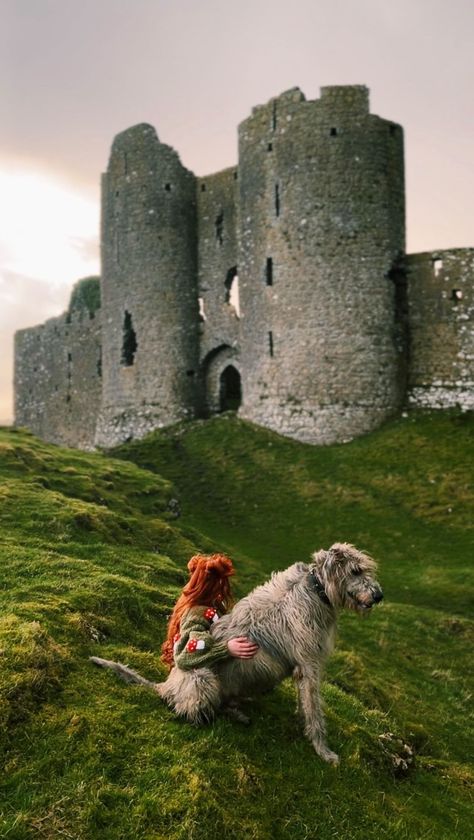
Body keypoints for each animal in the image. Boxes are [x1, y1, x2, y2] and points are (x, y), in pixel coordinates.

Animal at [91, 544, 382, 760]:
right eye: (356, 571)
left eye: (364, 568)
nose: (379, 595)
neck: (316, 590)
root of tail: (165, 686)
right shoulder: (309, 662)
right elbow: (314, 709)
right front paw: (323, 750)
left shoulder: (304, 668)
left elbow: (306, 702)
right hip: (202, 678)